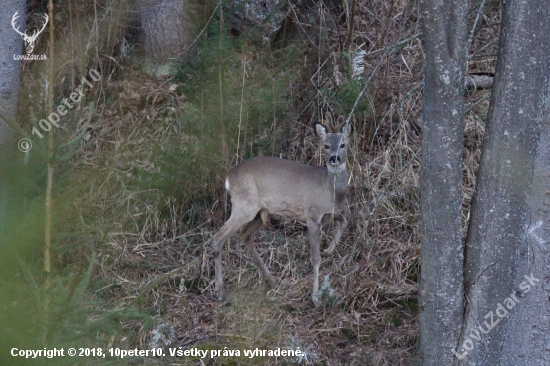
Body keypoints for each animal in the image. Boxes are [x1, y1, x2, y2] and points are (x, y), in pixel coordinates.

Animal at [213, 112, 352, 306]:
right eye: (326, 145)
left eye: (342, 144)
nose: (334, 158)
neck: (330, 191)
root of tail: (228, 178)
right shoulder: (312, 215)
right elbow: (314, 257)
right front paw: (315, 298)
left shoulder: (332, 213)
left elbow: (345, 221)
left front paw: (328, 251)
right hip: (244, 205)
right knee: (218, 237)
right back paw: (220, 292)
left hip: (259, 212)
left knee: (245, 235)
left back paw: (272, 281)